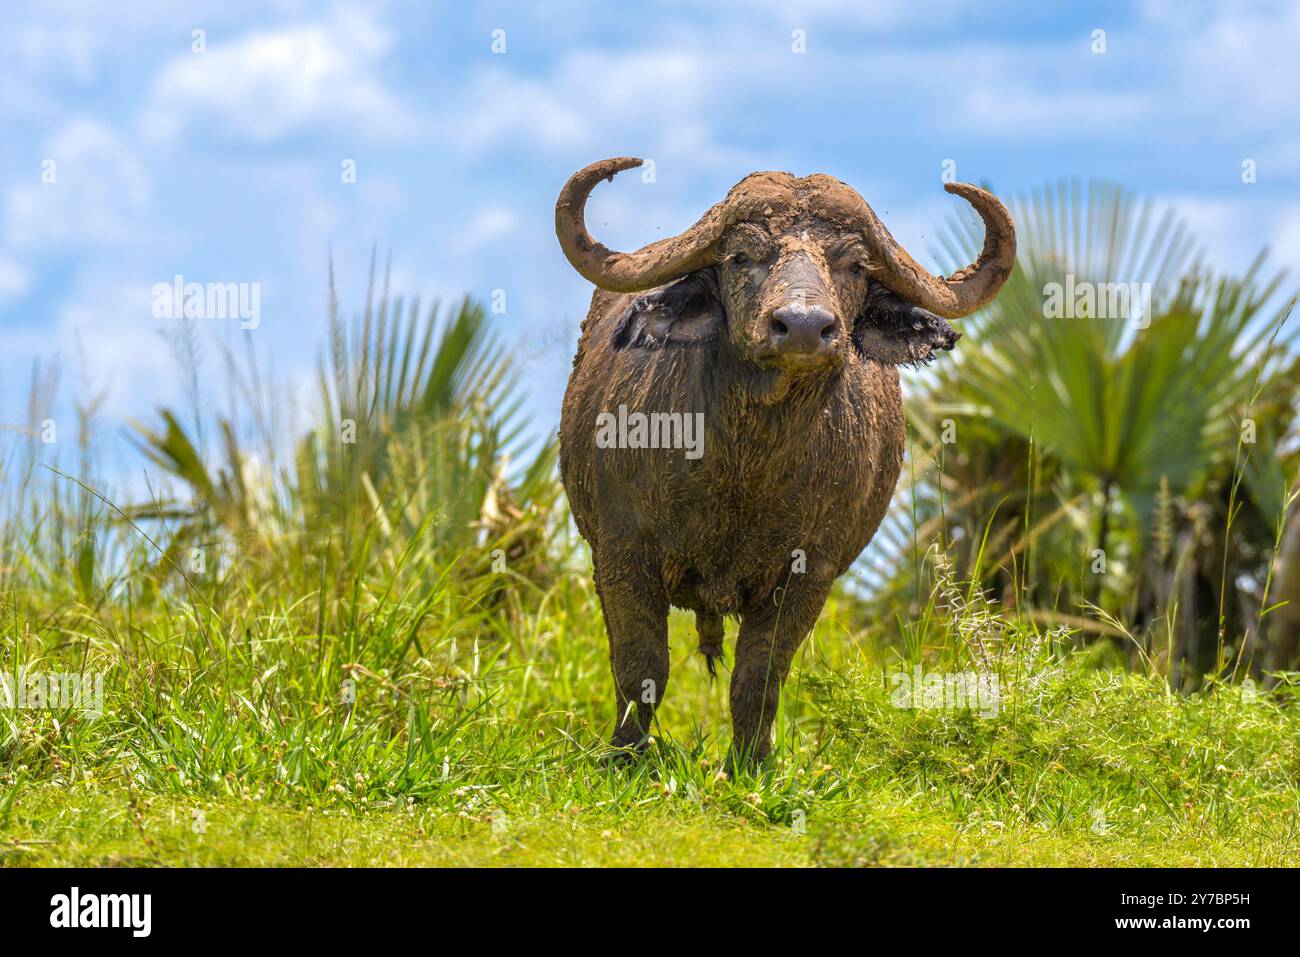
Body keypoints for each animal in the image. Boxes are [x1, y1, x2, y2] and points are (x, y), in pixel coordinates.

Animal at [556, 157, 1015, 765]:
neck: (743, 467)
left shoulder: (808, 574)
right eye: (741, 257)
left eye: (853, 265)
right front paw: (624, 759)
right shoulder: (619, 554)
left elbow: (759, 679)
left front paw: (750, 765)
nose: (801, 326)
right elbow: (641, 669)